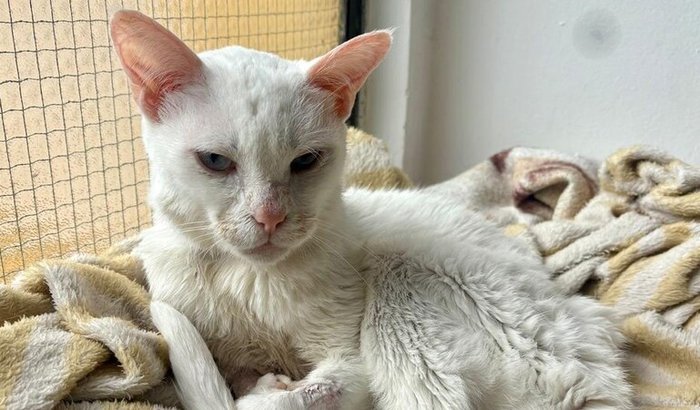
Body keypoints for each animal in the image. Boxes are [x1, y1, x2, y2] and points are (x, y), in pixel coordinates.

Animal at [111, 10, 632, 410]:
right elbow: (239, 379)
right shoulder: (221, 345)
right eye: (216, 161)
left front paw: (270, 387)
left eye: (306, 161)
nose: (270, 217)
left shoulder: (351, 364)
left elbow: (281, 398)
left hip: (402, 279)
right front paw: (261, 380)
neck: (246, 280)